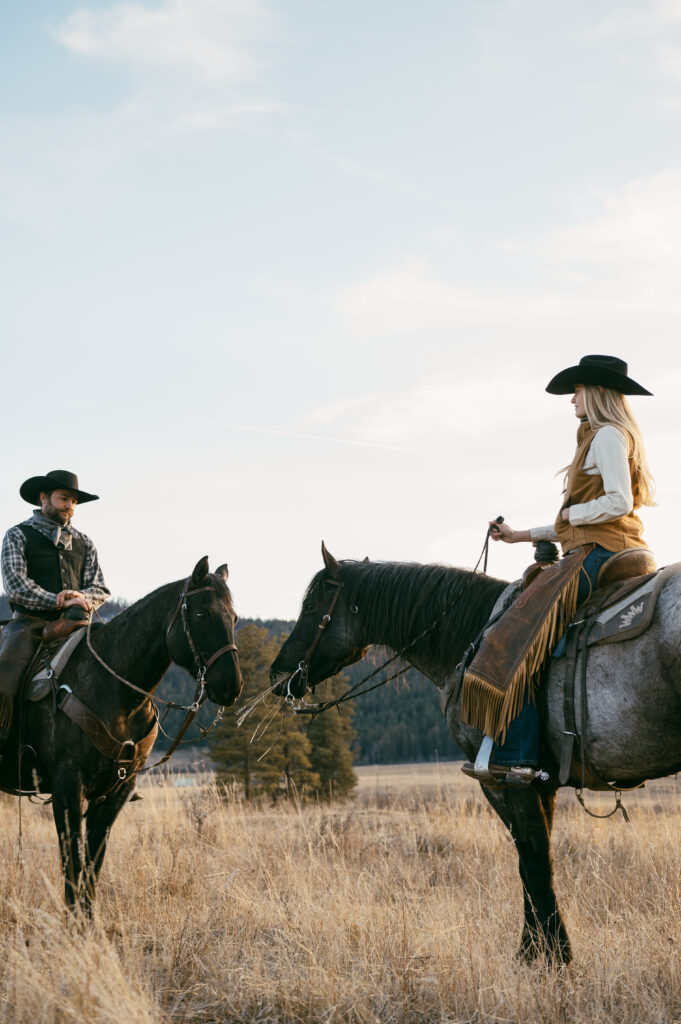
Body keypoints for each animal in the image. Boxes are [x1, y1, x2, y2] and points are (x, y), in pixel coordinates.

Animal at [0, 557, 241, 917]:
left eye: (234, 618)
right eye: (202, 614)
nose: (232, 685)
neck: (114, 690)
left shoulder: (115, 794)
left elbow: (91, 869)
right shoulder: (67, 788)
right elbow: (72, 864)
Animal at [270, 544, 681, 966]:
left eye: (312, 606)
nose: (278, 675)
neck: (469, 635)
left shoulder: (504, 779)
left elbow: (532, 859)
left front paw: (548, 956)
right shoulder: (540, 783)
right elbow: (536, 859)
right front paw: (537, 950)